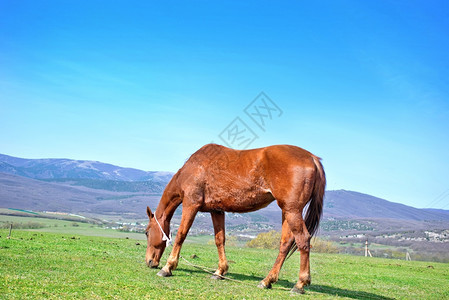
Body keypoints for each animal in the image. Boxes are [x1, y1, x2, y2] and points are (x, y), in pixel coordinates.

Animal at [145, 143, 324, 292]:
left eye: (147, 232)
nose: (149, 262)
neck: (193, 170)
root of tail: (312, 158)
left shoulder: (190, 205)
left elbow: (181, 235)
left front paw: (168, 267)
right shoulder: (217, 211)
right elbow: (220, 240)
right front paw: (219, 271)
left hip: (292, 210)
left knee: (303, 239)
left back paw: (300, 284)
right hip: (286, 211)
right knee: (286, 243)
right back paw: (267, 281)